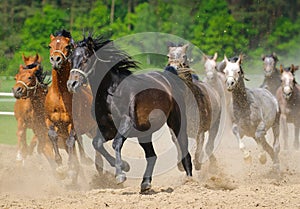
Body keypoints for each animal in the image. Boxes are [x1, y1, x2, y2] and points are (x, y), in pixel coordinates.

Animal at [67, 35, 193, 192]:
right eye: (71, 59)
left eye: (85, 59)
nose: (71, 84)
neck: (112, 92)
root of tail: (169, 78)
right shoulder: (107, 128)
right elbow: (97, 144)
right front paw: (125, 166)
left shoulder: (126, 123)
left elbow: (116, 144)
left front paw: (120, 174)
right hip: (144, 133)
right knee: (152, 156)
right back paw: (145, 183)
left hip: (176, 121)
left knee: (183, 148)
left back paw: (189, 181)